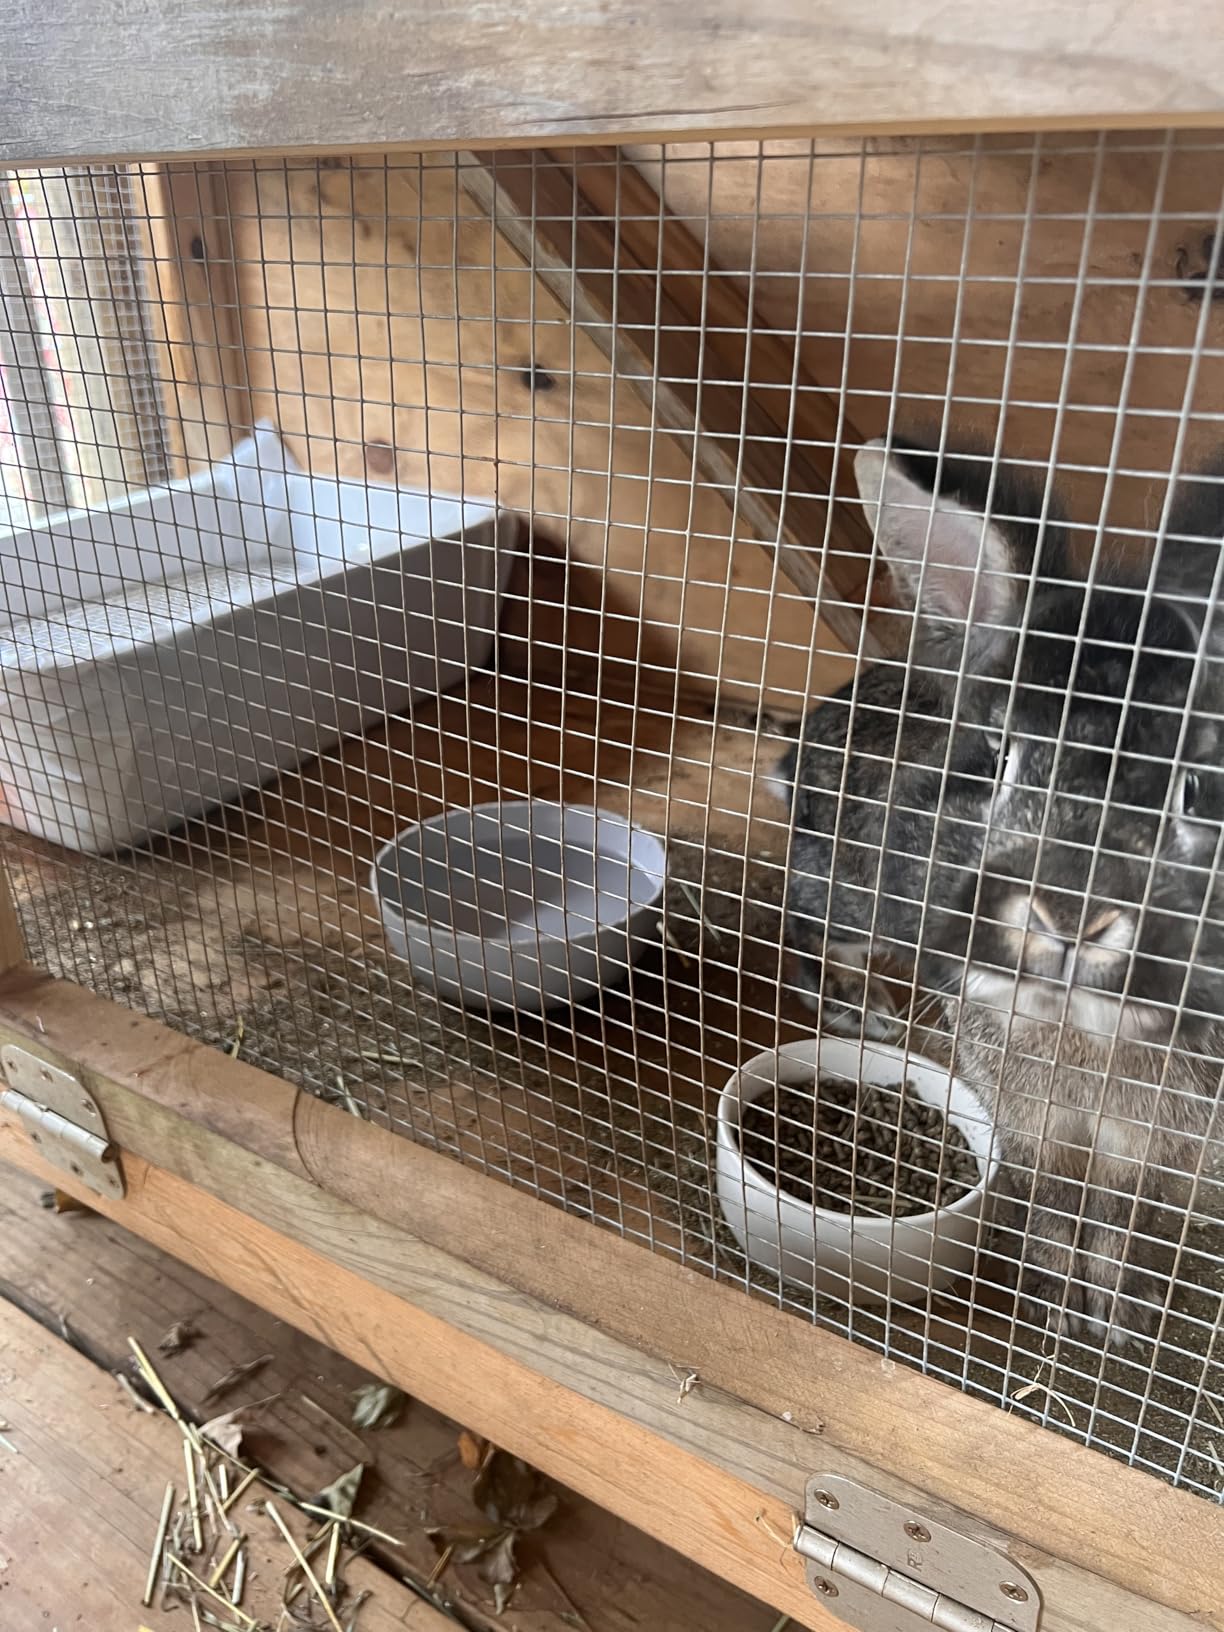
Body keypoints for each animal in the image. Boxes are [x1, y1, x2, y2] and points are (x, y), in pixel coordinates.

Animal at [778, 433, 1224, 1346]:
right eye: (1002, 755)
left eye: (1197, 787)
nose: (1072, 914)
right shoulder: (1033, 1129)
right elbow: (1053, 1209)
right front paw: (1056, 1309)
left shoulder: (1143, 1146)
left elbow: (1115, 1223)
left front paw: (1112, 1317)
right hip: (851, 893)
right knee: (794, 920)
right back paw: (859, 1009)